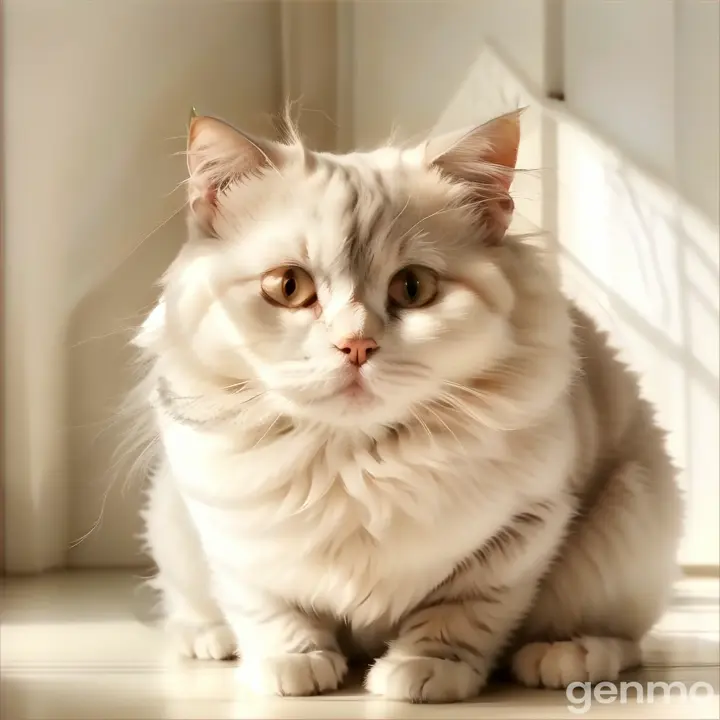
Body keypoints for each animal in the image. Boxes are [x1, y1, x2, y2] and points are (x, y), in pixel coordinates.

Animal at [134, 111, 680, 704]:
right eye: (289, 286)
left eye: (413, 288)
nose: (355, 345)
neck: (354, 461)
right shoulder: (231, 533)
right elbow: (271, 608)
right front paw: (293, 665)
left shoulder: (522, 531)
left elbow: (457, 614)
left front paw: (421, 672)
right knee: (193, 607)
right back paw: (210, 640)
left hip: (628, 513)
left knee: (625, 642)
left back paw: (566, 658)